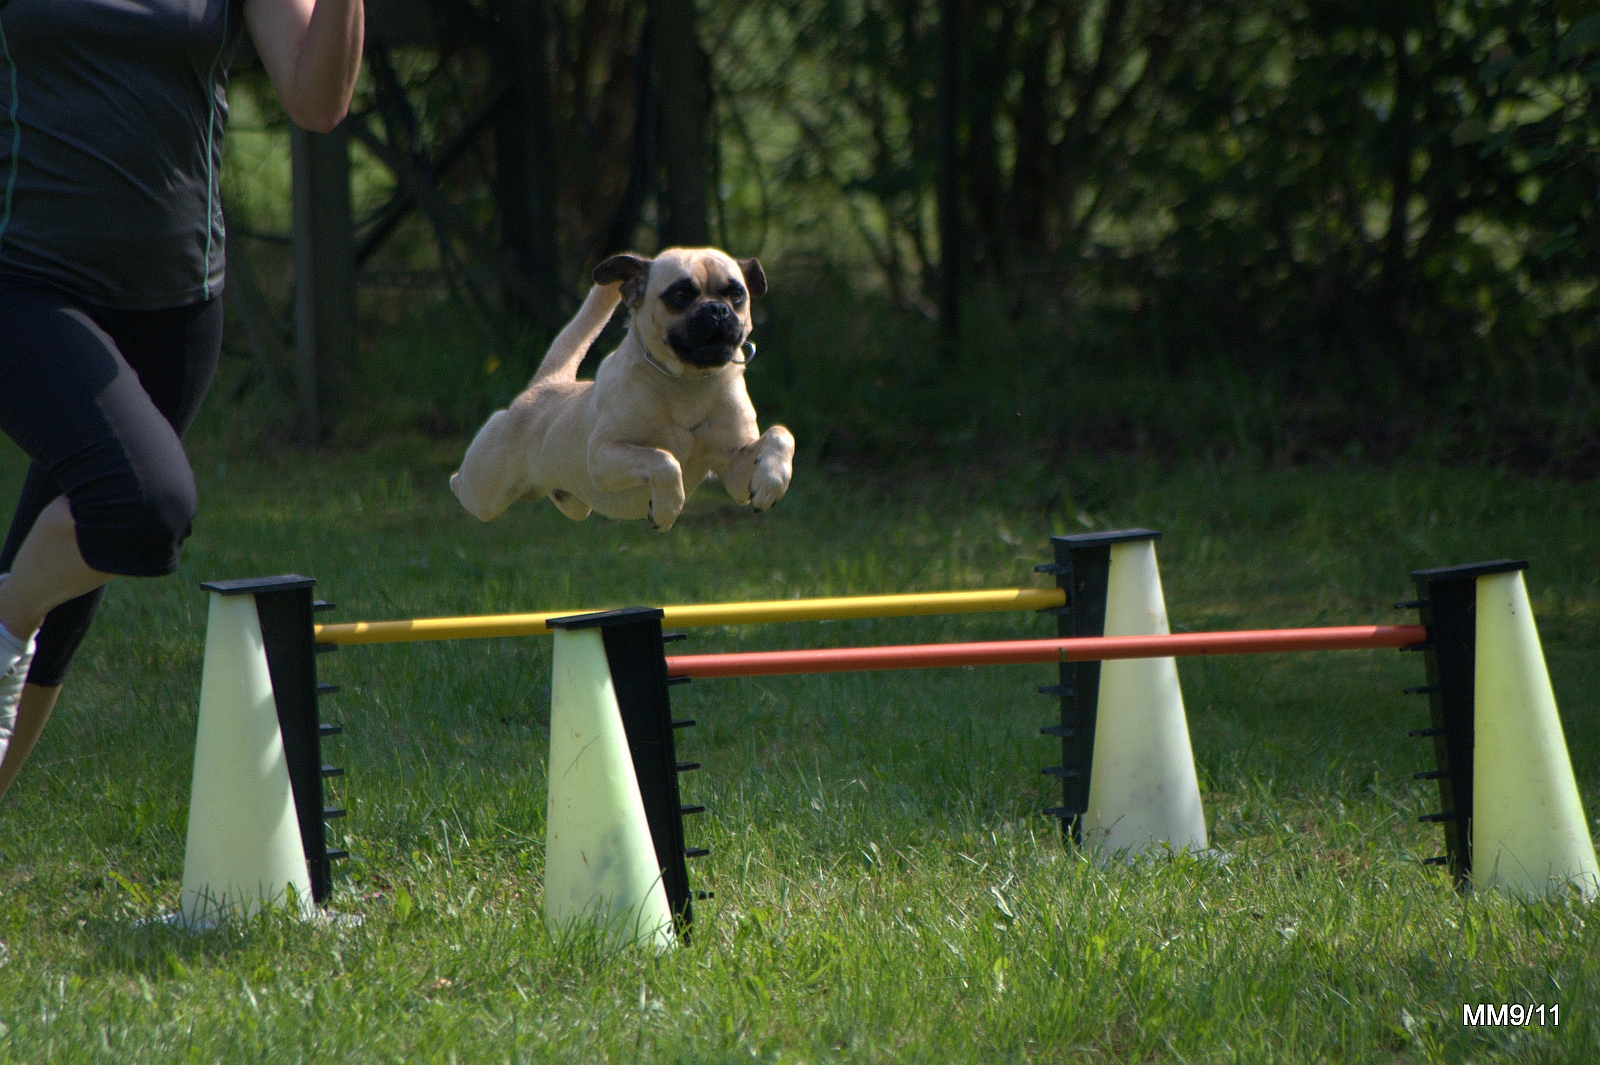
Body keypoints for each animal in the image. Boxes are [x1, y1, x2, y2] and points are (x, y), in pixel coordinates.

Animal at [448, 249, 796, 530]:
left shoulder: (734, 470)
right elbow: (663, 460)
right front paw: (667, 509)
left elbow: (780, 434)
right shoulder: (604, 456)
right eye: (680, 295)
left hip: (569, 503)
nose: (718, 310)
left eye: (736, 294)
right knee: (461, 487)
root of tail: (547, 383)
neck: (687, 383)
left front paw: (772, 482)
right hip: (484, 491)